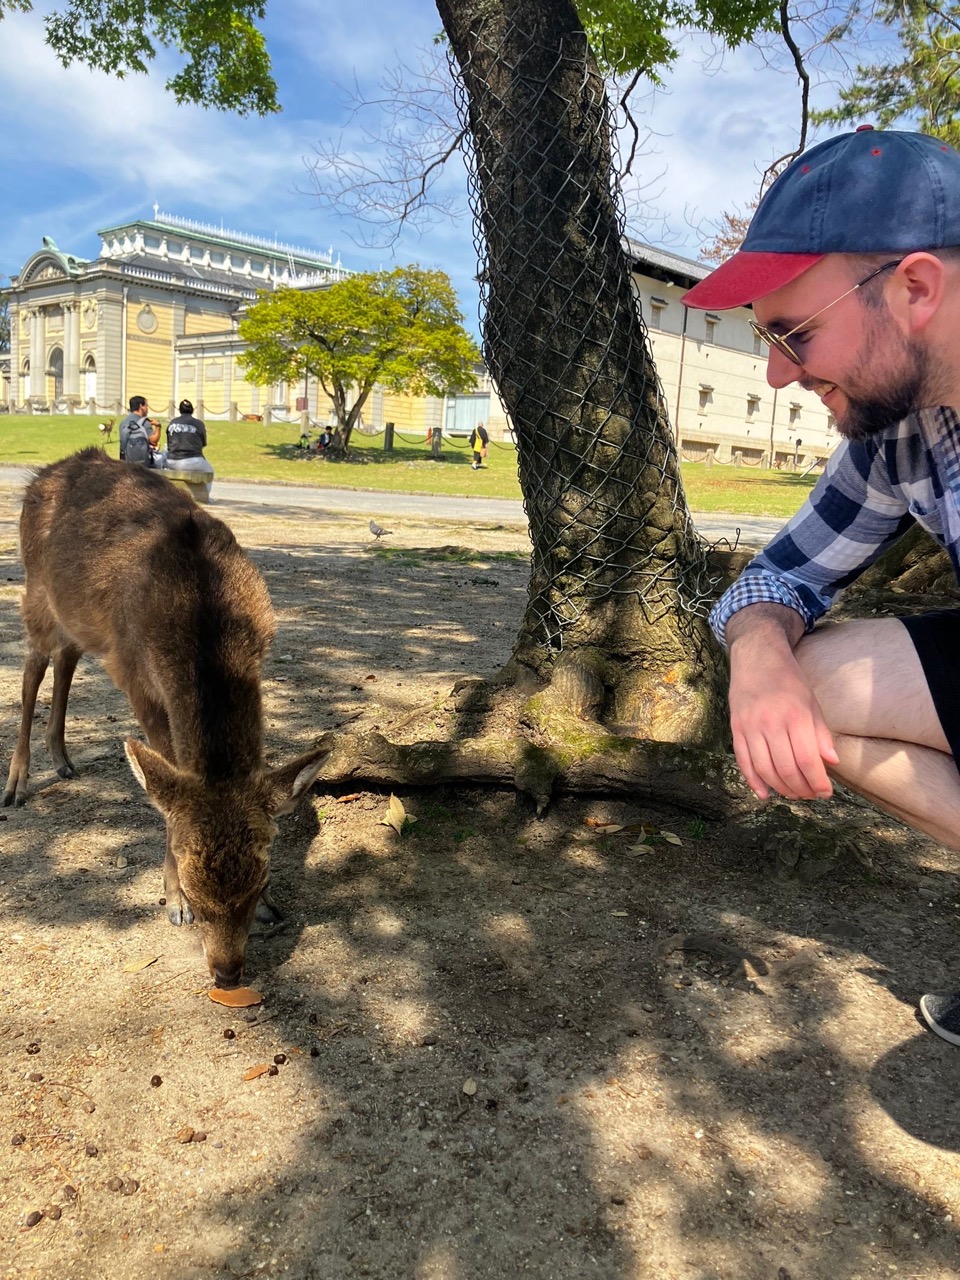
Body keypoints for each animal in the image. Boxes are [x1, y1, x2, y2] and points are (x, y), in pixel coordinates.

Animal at [3, 453, 330, 988]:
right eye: (194, 889)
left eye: (261, 878)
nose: (227, 974)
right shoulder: (136, 676)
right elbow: (166, 771)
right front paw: (172, 901)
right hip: (35, 590)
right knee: (33, 666)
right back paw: (16, 783)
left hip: (76, 616)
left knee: (67, 657)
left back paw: (64, 759)